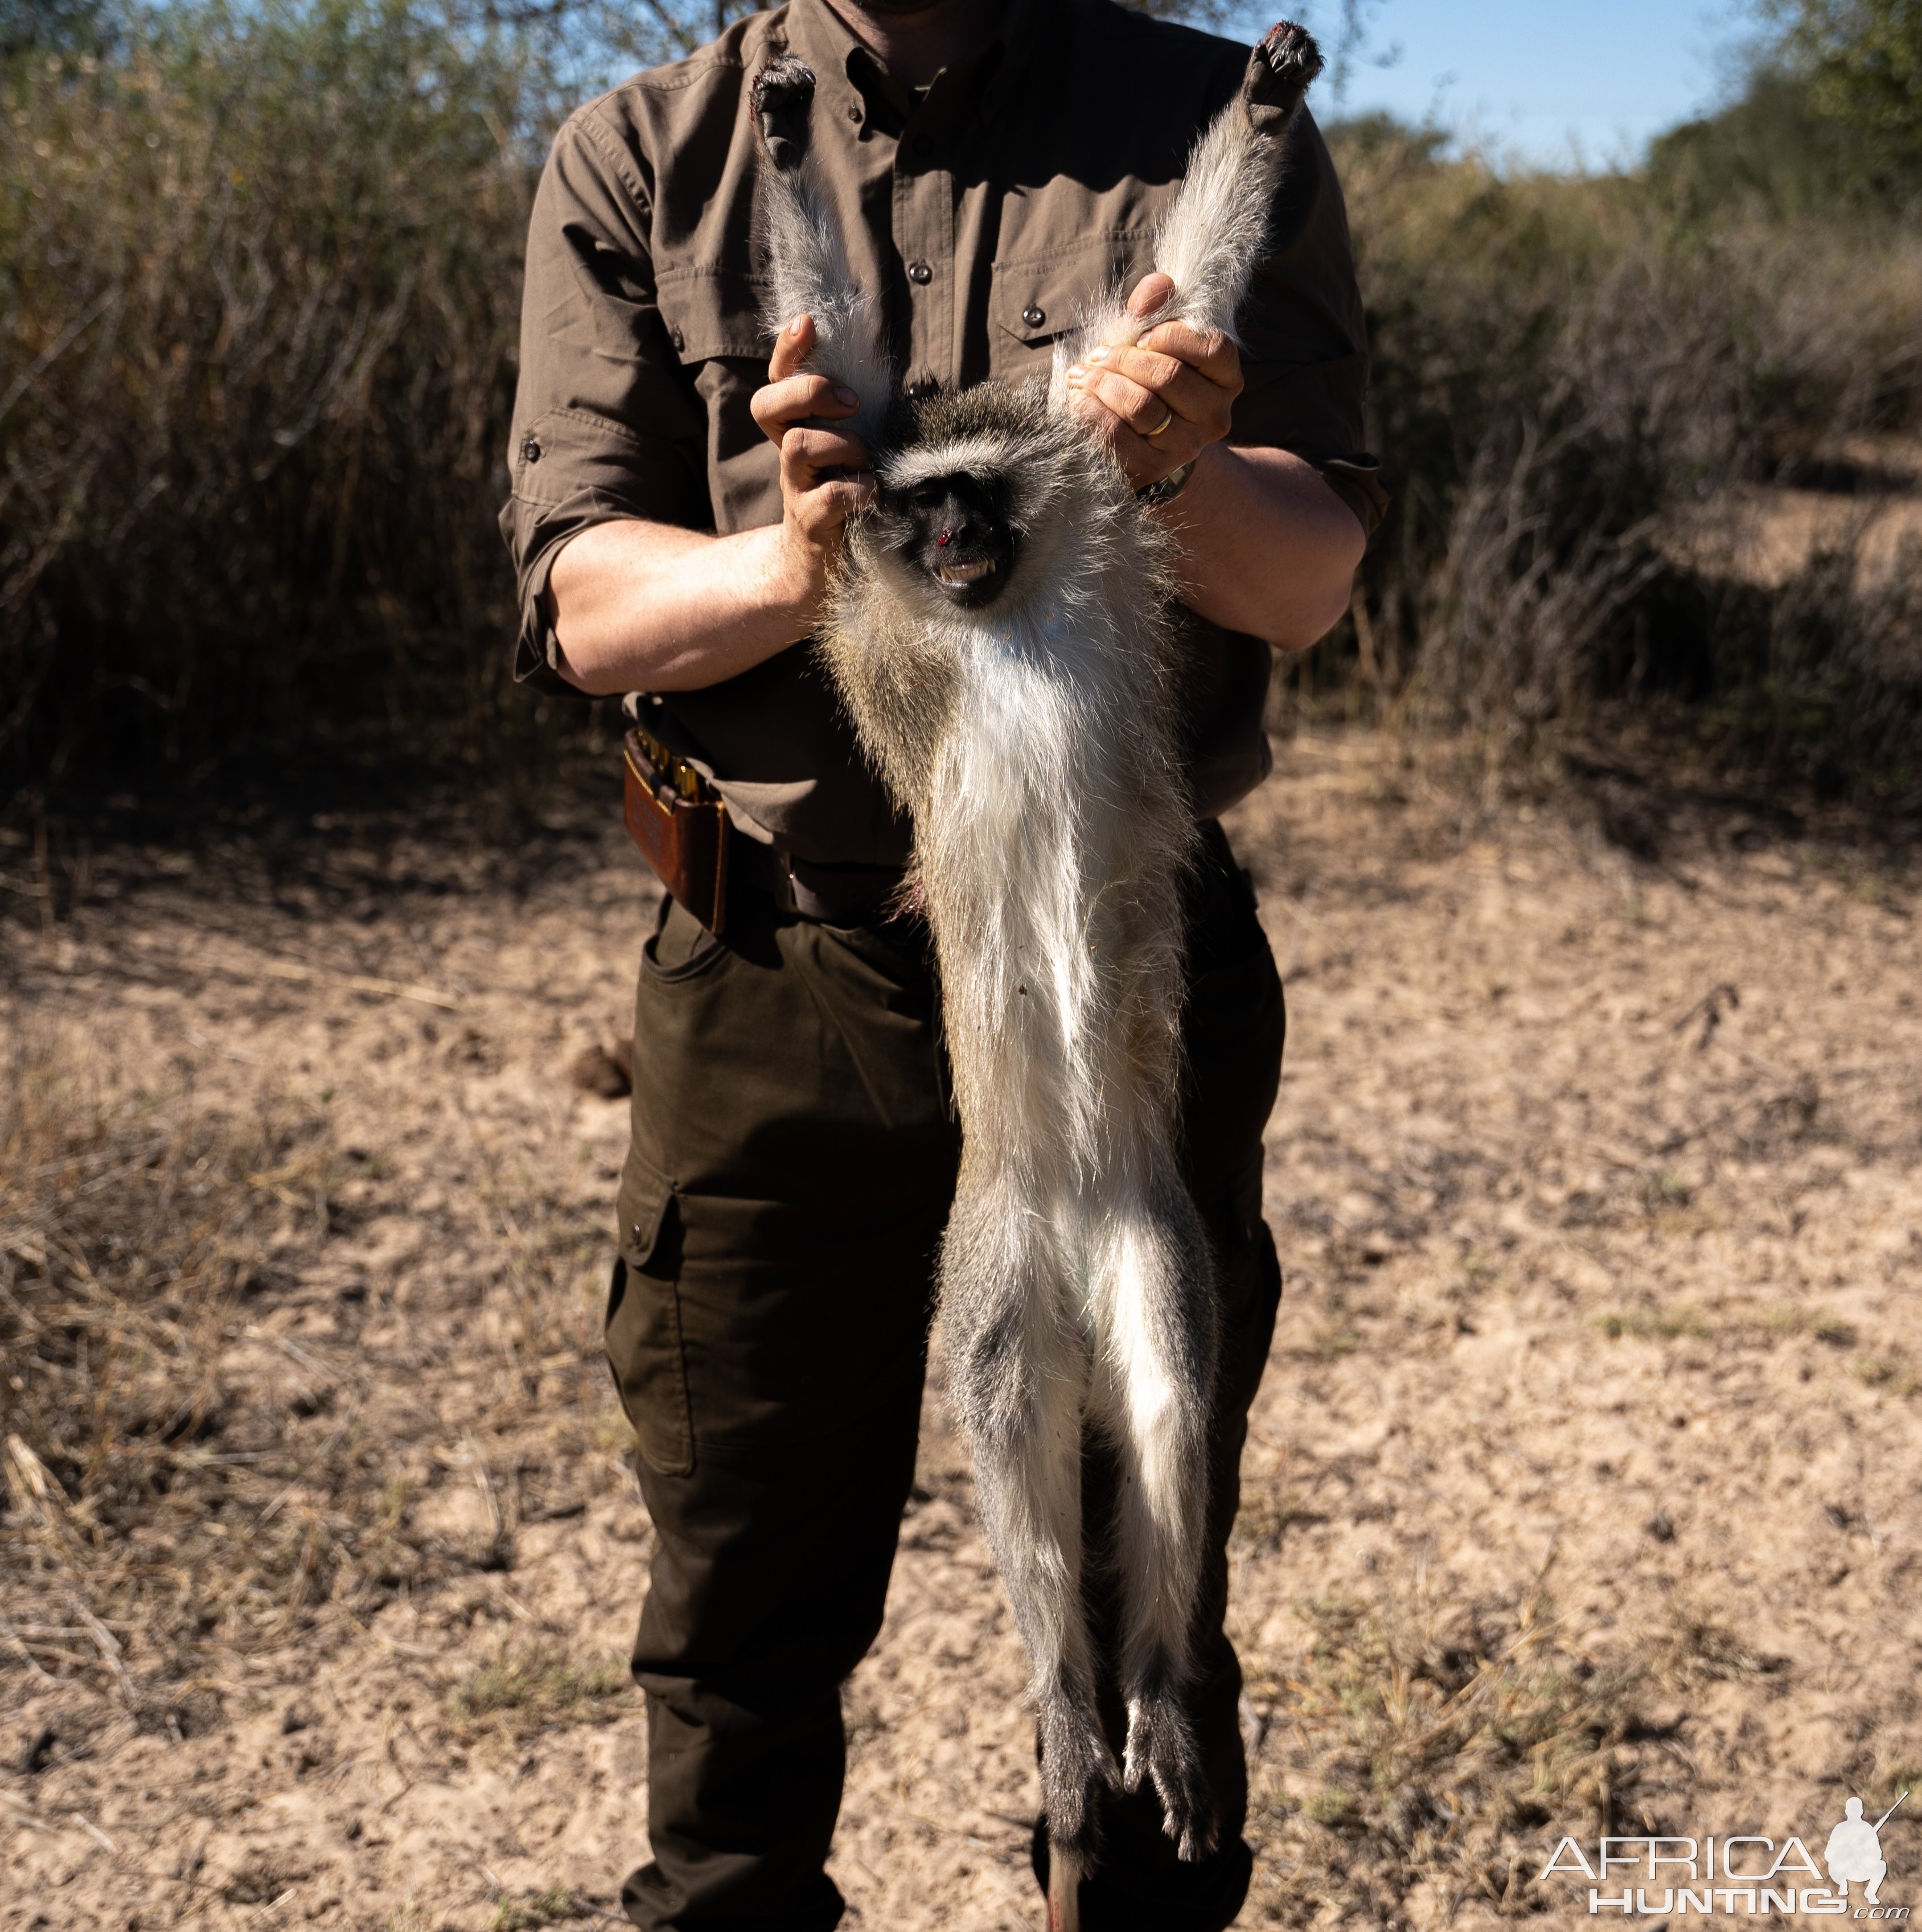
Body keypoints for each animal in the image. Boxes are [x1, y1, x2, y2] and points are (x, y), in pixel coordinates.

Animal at [753, 26, 1321, 1916]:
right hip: (990, 1274)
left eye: (976, 503)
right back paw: (1070, 1708)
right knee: (1008, 1436)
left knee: (1172, 1420)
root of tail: (1070, 1238)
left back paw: (1151, 1698)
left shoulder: (1095, 501)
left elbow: (1182, 296)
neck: (996, 626)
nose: (947, 556)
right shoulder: (870, 592)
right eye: (921, 517)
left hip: (1160, 1251)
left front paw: (1275, 102)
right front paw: (789, 120)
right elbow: (833, 365)